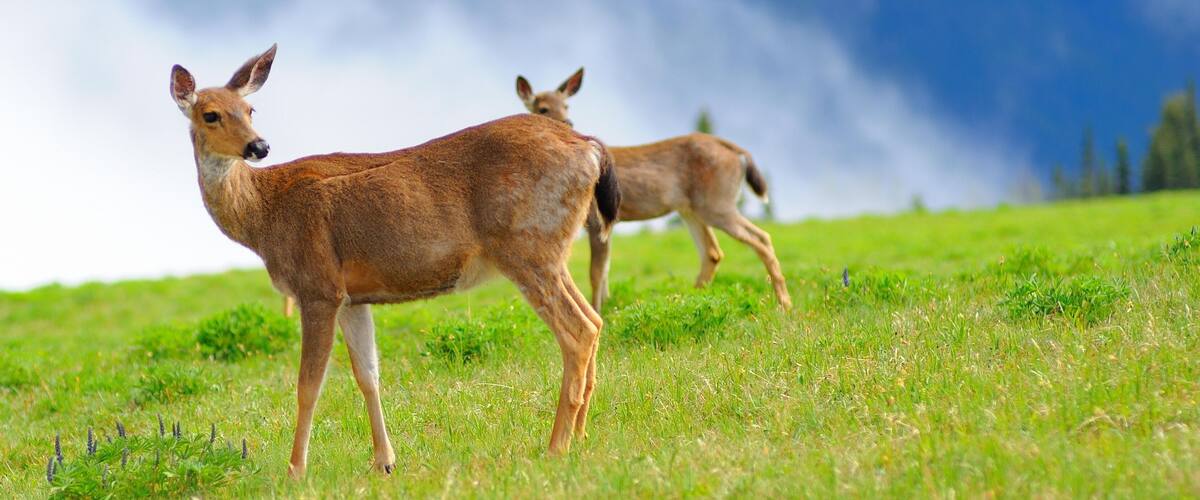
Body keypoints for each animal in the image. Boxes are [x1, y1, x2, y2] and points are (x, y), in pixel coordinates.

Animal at [169, 45, 620, 478]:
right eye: (211, 114)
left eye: (249, 110)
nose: (259, 146)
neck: (263, 213)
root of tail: (590, 148)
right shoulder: (352, 297)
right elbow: (368, 375)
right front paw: (384, 461)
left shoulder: (317, 286)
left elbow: (307, 385)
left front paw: (295, 470)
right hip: (552, 250)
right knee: (594, 319)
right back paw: (580, 436)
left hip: (527, 245)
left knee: (578, 331)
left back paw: (556, 447)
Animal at [516, 69, 792, 311]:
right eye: (542, 108)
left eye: (566, 106)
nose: (568, 122)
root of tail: (736, 150)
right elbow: (605, 273)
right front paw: (608, 308)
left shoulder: (595, 219)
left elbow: (596, 273)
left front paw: (598, 311)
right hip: (691, 209)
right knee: (712, 252)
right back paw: (690, 299)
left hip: (716, 202)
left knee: (761, 238)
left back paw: (784, 304)